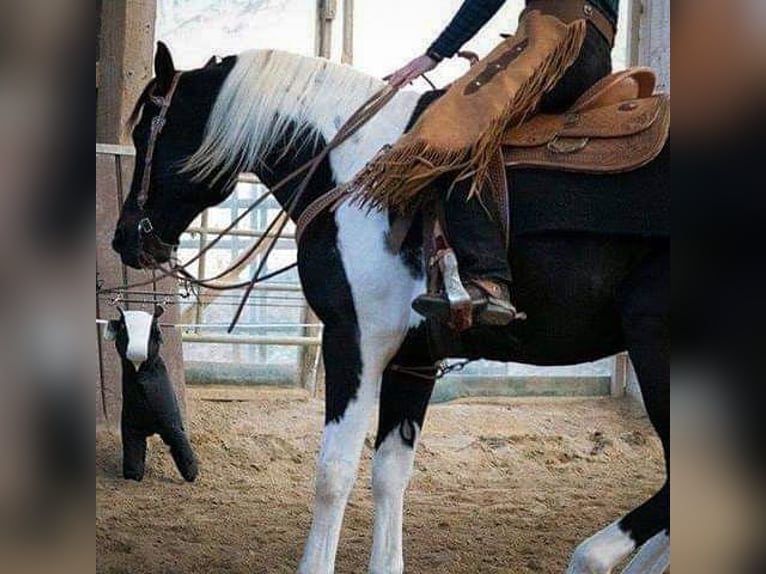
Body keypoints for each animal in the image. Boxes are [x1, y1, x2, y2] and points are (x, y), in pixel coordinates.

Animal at [111, 43, 669, 574]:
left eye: (145, 133)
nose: (123, 239)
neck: (354, 172)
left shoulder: (354, 340)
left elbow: (333, 472)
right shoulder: (414, 357)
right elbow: (389, 473)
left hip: (657, 350)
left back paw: (591, 558)